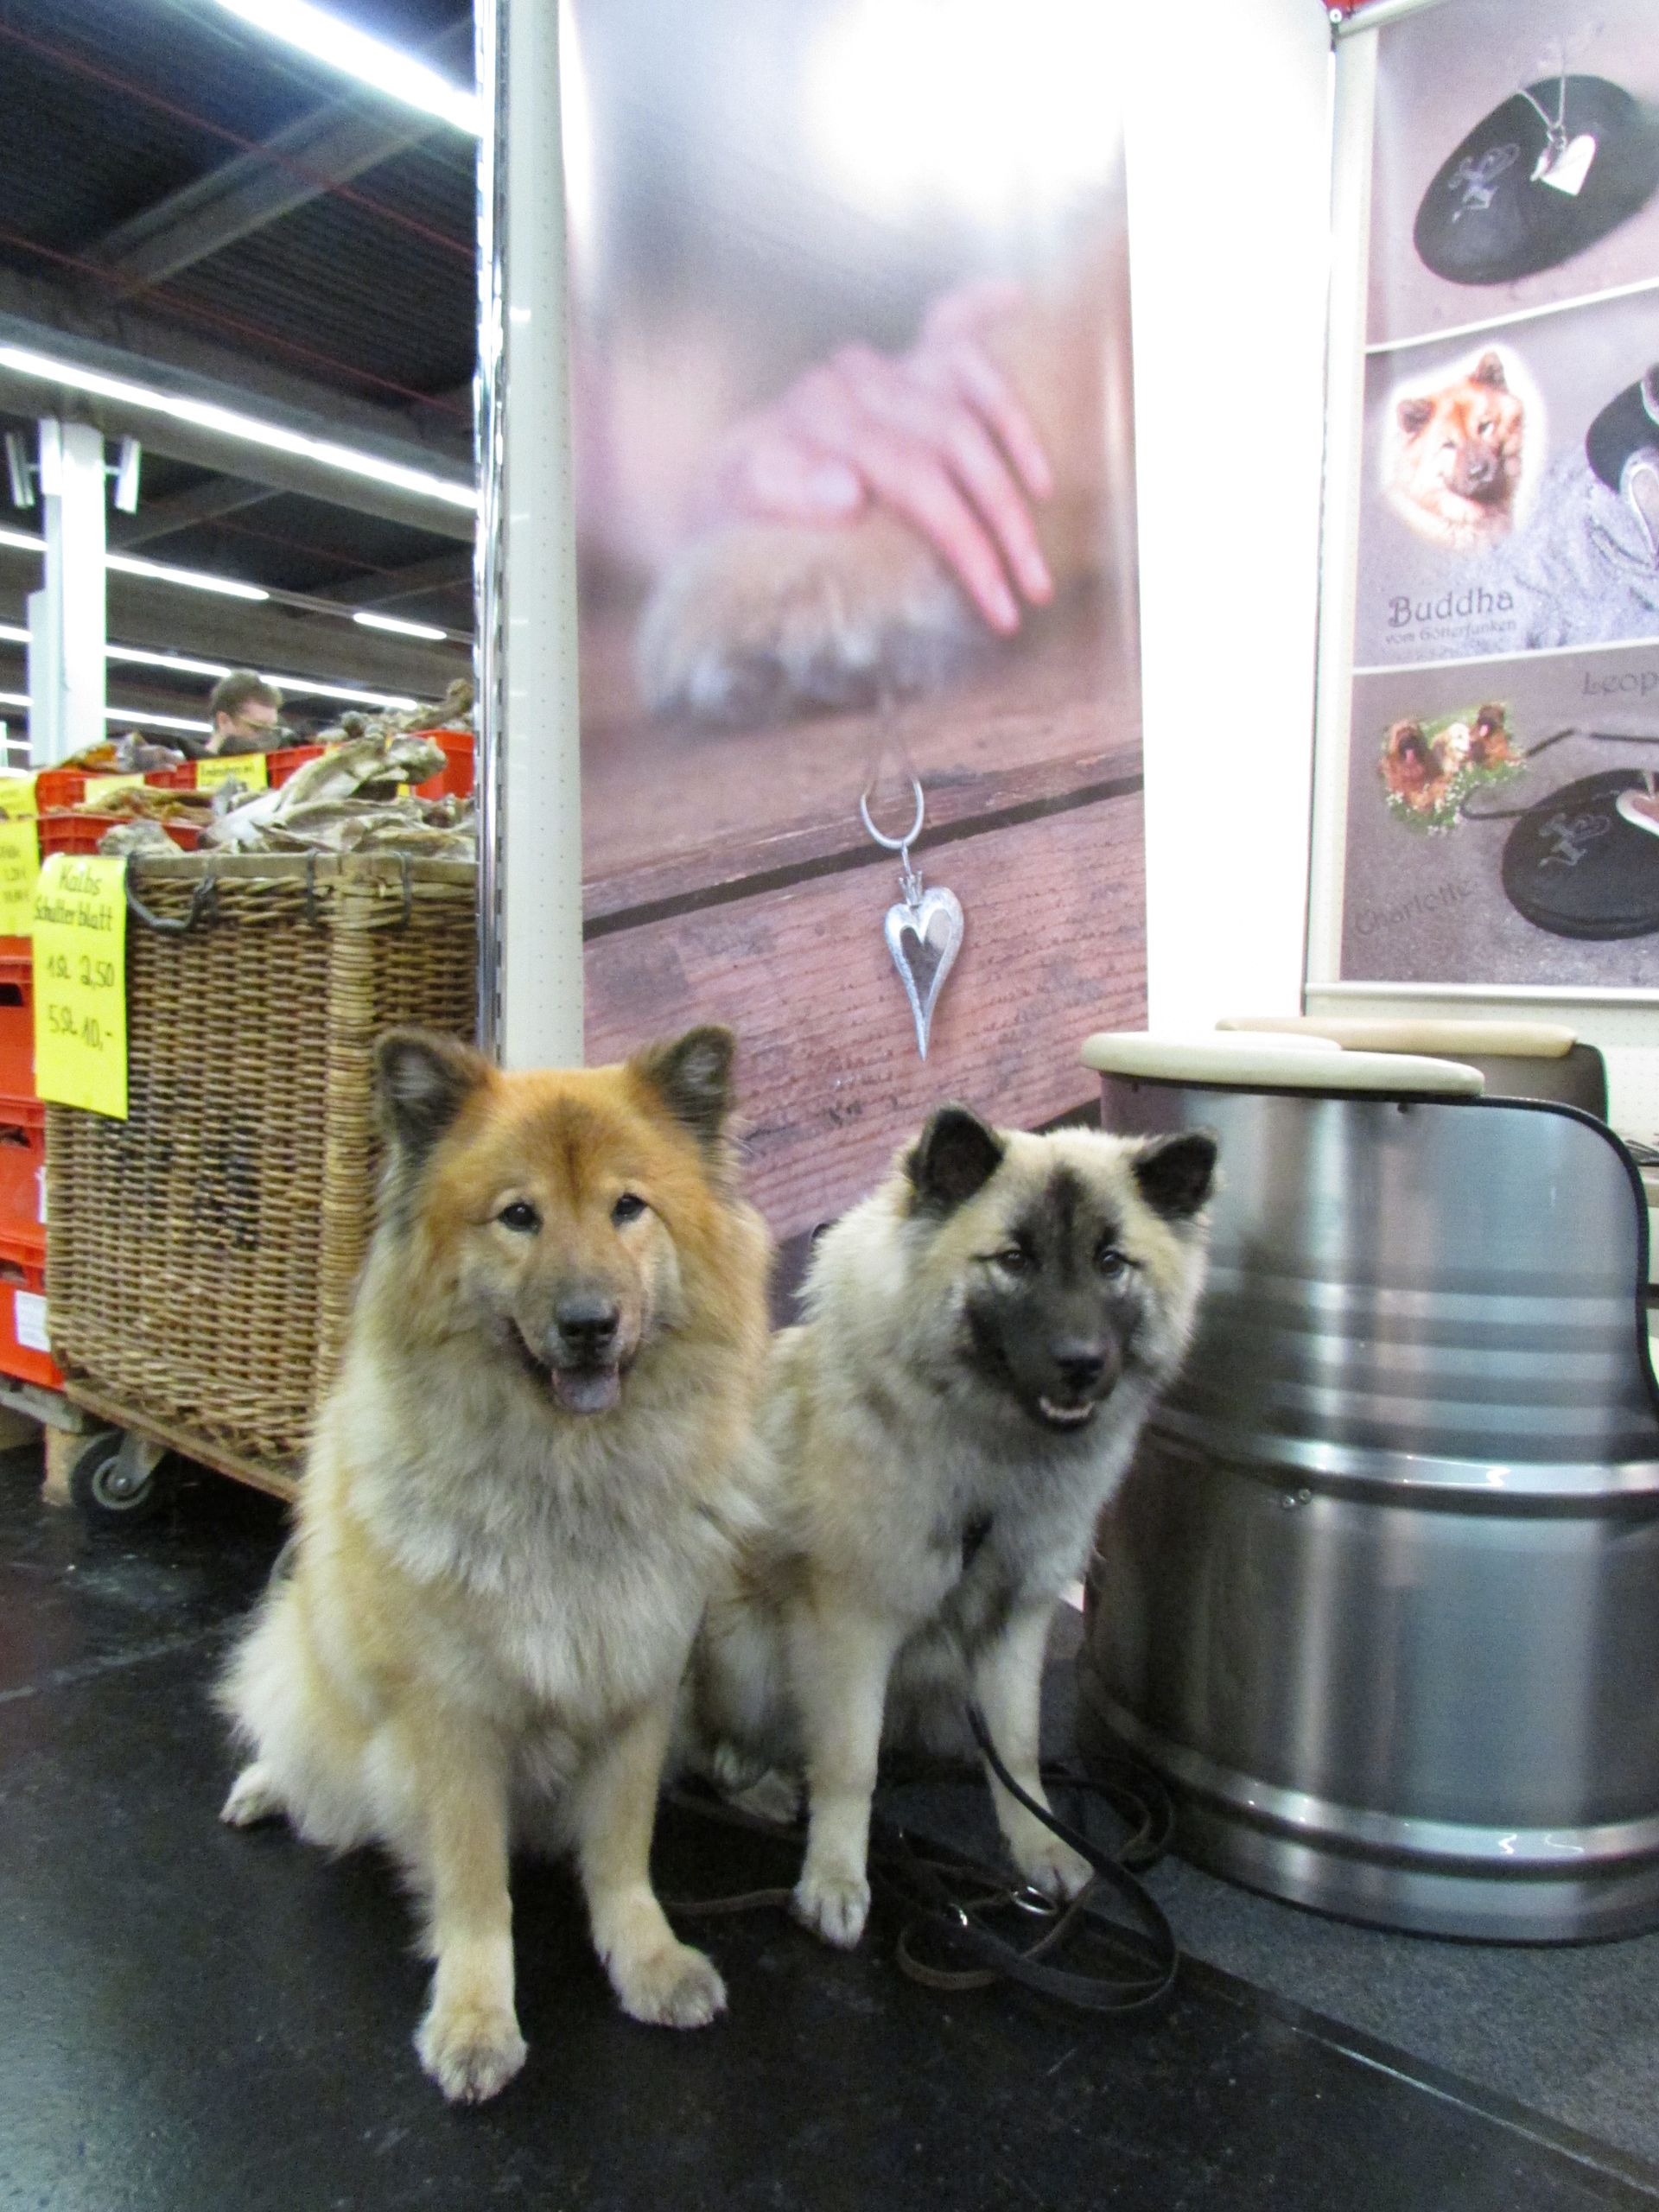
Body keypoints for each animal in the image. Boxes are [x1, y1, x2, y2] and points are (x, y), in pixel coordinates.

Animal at [690, 1106, 1221, 1955]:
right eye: (1013, 1259)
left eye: (1111, 1262)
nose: (1081, 1363)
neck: (991, 1461)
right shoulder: (853, 1621)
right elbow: (849, 1764)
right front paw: (835, 1880)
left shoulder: (1014, 1620)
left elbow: (1019, 1748)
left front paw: (1040, 1848)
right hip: (739, 1645)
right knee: (709, 1745)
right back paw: (761, 1785)